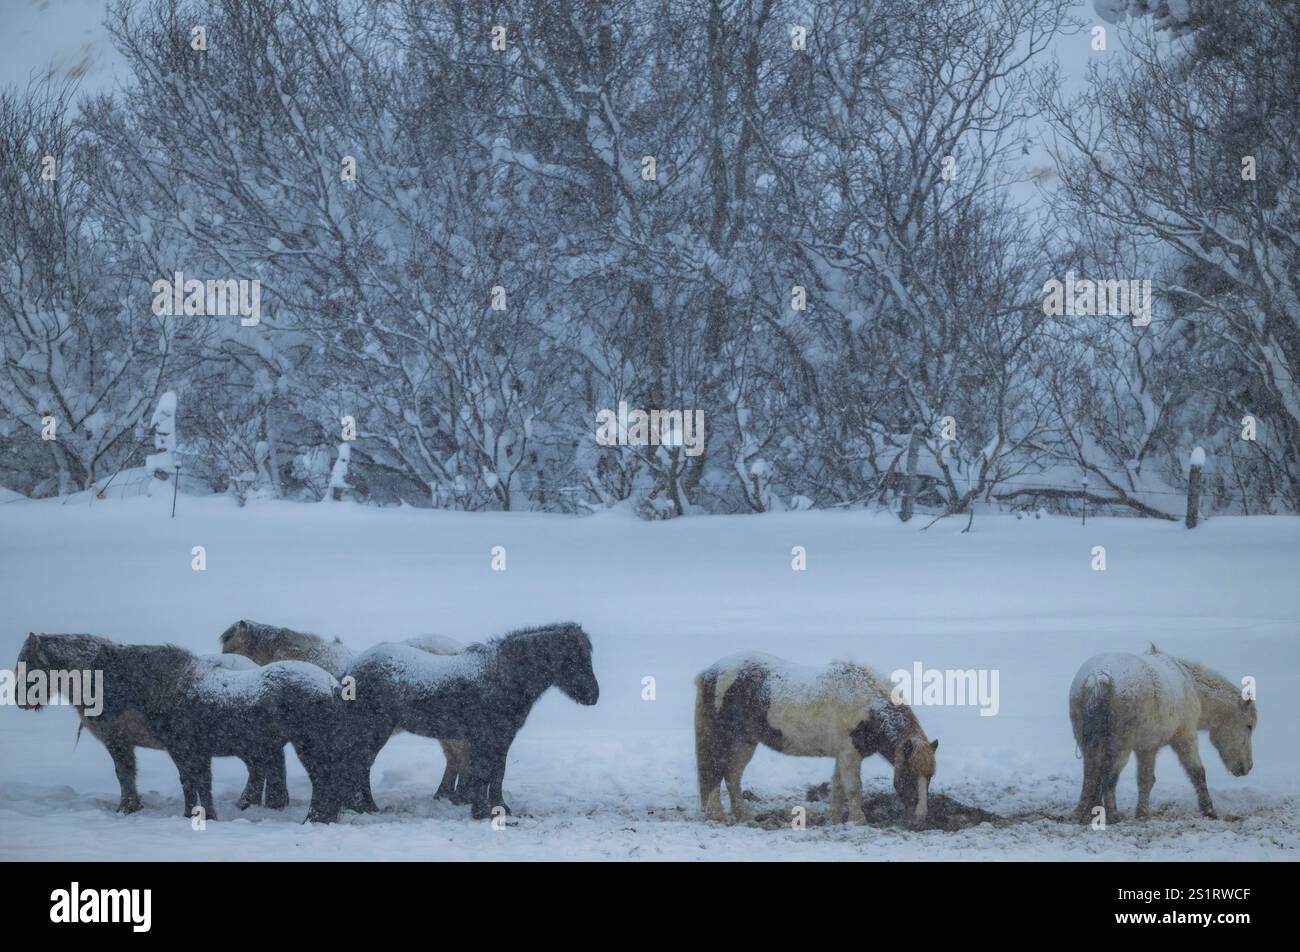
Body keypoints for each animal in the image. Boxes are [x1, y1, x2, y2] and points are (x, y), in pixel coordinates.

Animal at [14, 633, 285, 813]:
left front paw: (127, 807)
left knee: (261, 769)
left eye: (29, 665)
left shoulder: (117, 741)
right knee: (260, 769)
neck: (101, 679)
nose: (18, 700)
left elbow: (124, 774)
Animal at [89, 641, 346, 823]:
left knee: (323, 781)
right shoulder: (183, 754)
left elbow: (201, 784)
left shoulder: (193, 752)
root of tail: (331, 684)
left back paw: (312, 819)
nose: (97, 716)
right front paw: (190, 815)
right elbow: (189, 784)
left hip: (307, 746)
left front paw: (207, 816)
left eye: (109, 676)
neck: (174, 689)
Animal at [320, 622, 600, 822]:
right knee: (361, 764)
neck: (501, 677)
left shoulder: (499, 739)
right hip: (375, 729)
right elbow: (486, 774)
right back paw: (367, 806)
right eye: (572, 658)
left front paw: (498, 808)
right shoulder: (490, 738)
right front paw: (483, 811)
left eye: (588, 656)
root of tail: (351, 669)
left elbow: (495, 773)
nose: (593, 696)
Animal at [695, 652, 939, 827]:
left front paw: (834, 818)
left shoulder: (843, 754)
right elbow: (854, 788)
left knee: (732, 775)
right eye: (908, 775)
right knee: (714, 771)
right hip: (722, 738)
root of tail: (711, 672)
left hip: (744, 742)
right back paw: (716, 815)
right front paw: (858, 820)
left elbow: (838, 786)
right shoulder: (850, 753)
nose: (919, 820)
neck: (868, 707)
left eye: (929, 777)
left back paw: (744, 815)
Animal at [1070, 645, 1255, 822]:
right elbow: (1197, 773)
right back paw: (1113, 815)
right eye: (1249, 726)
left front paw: (1142, 813)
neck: (1189, 684)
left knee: (1091, 774)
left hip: (1089, 743)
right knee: (1109, 776)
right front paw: (1209, 811)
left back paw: (1084, 812)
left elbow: (1145, 779)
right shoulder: (1185, 738)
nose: (1247, 767)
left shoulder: (1147, 748)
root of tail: (1100, 677)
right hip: (1120, 746)